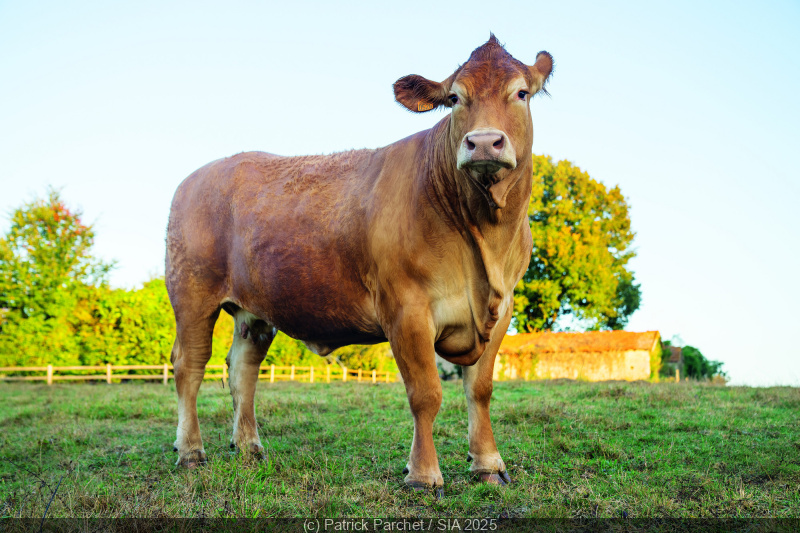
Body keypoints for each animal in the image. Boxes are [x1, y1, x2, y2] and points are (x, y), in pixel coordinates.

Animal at [166, 34, 552, 490]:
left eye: (522, 93)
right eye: (455, 97)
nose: (484, 142)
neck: (484, 242)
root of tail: (200, 175)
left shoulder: (502, 307)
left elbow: (481, 389)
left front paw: (488, 464)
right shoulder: (406, 307)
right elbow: (425, 393)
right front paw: (423, 474)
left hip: (254, 309)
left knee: (243, 367)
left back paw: (248, 447)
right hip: (192, 294)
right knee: (189, 366)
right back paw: (190, 451)